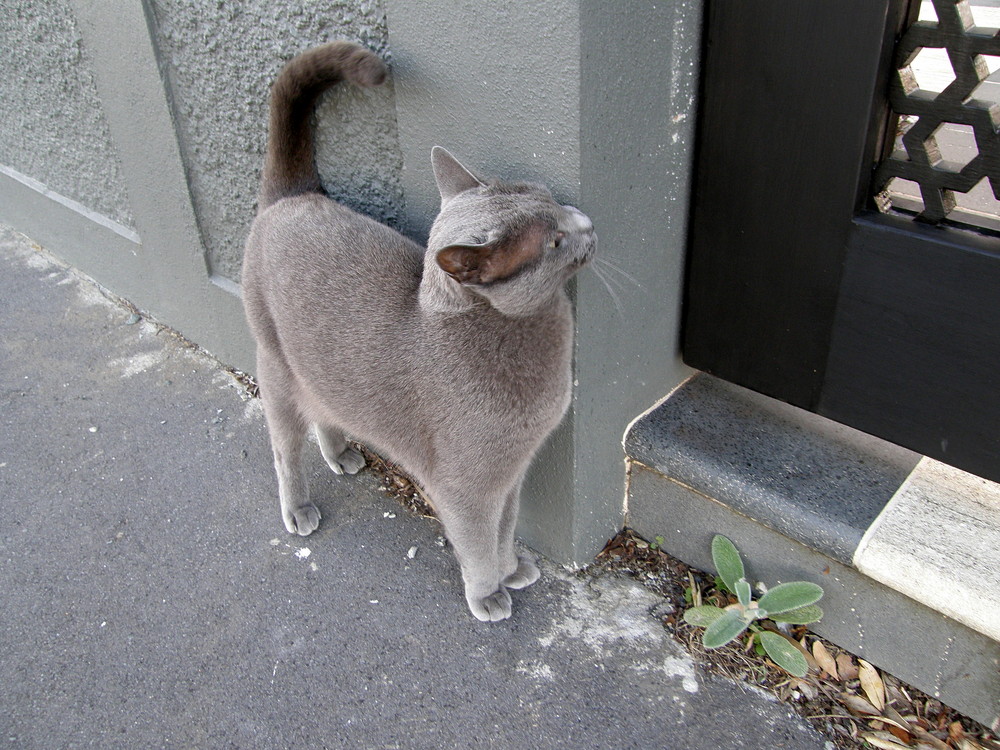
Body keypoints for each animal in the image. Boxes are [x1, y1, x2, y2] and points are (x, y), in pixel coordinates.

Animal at [244, 44, 592, 624]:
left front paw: (512, 568)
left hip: (322, 374)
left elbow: (505, 527)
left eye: (553, 200)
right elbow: (477, 539)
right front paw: (488, 592)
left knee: (325, 411)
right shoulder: (466, 483)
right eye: (555, 242)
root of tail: (291, 197)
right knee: (284, 447)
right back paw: (298, 506)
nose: (587, 221)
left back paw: (340, 454)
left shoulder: (513, 473)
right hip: (274, 363)